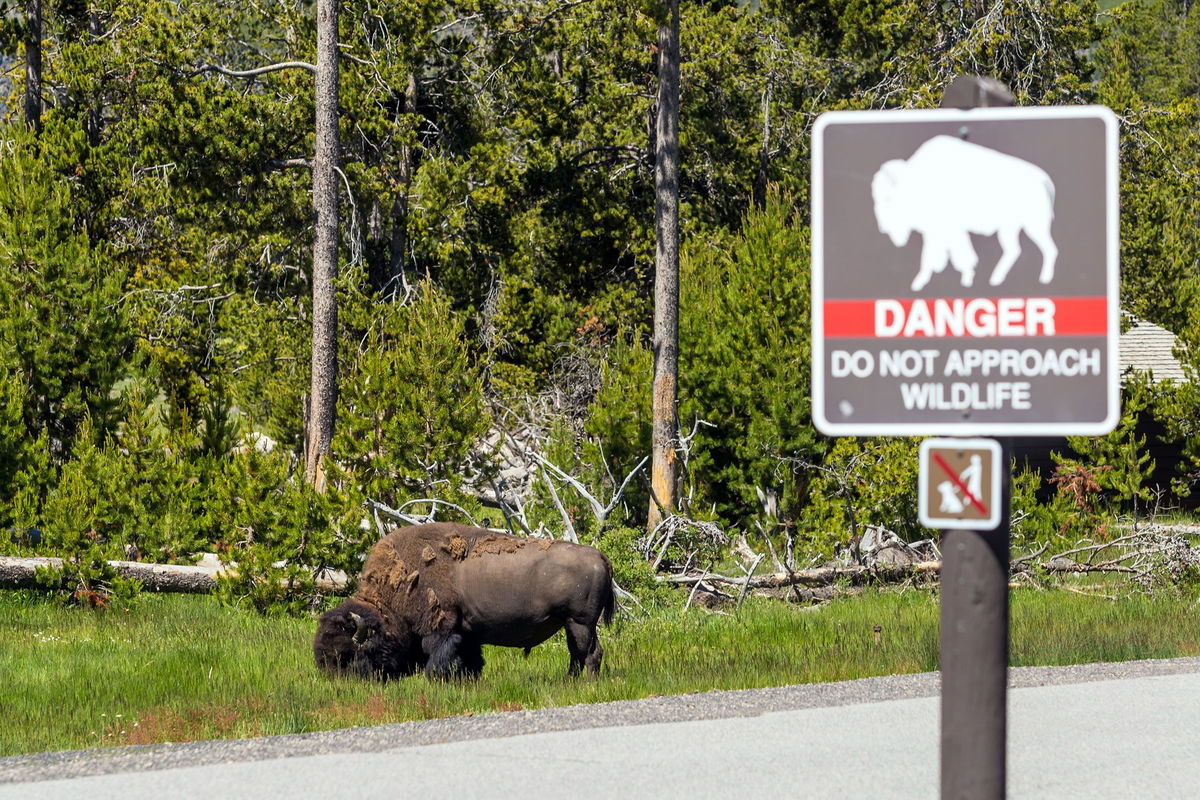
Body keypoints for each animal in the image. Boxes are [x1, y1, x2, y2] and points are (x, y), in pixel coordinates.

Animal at [314, 525, 614, 681]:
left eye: (346, 656)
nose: (335, 682)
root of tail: (599, 555)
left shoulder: (442, 630)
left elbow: (439, 658)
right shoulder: (467, 632)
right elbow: (471, 658)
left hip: (578, 623)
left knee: (586, 653)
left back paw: (579, 683)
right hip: (575, 625)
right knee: (585, 653)